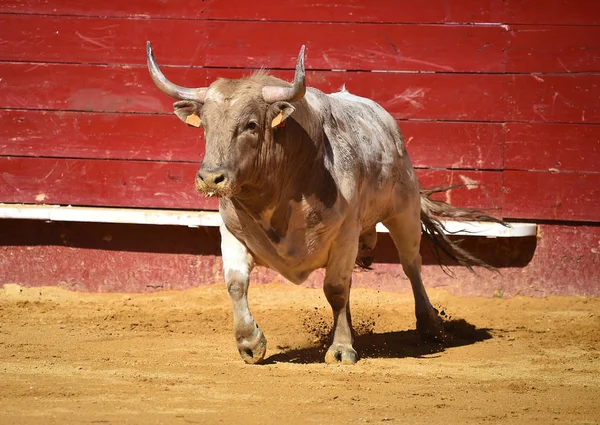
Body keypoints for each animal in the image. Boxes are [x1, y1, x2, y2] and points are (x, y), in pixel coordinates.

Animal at [145, 43, 496, 364]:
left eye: (251, 125)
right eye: (204, 124)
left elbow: (336, 290)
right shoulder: (232, 234)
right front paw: (250, 343)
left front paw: (341, 349)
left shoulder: (345, 234)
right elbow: (236, 284)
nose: (210, 178)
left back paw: (429, 327)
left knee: (411, 266)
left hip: (403, 211)